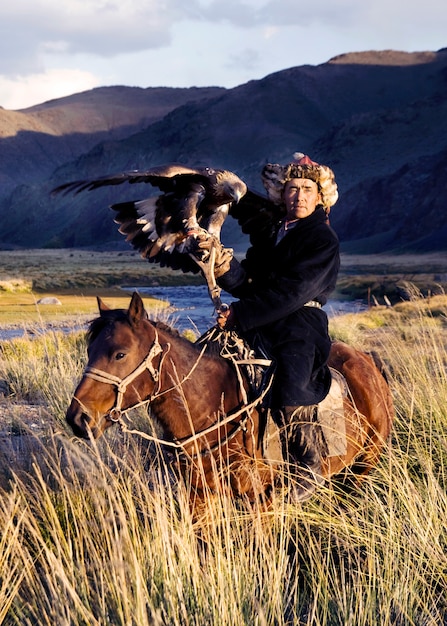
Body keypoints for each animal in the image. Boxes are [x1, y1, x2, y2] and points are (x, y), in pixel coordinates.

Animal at [66, 290, 396, 510]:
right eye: (89, 351)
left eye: (120, 354)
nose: (78, 418)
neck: (213, 410)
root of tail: (368, 359)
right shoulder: (199, 497)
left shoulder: (262, 503)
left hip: (363, 466)